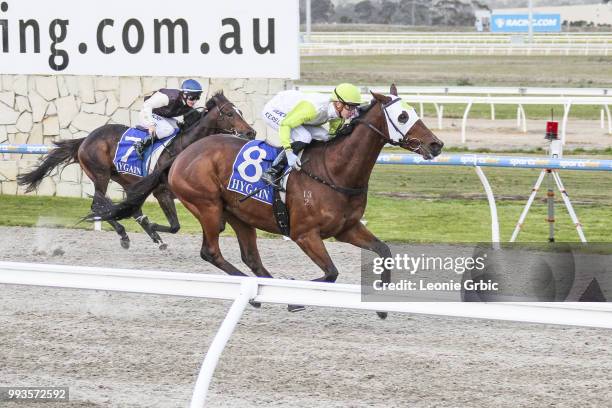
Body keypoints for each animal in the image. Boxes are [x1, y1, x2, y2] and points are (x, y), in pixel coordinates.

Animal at [17, 92, 255, 249]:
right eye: (228, 113)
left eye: (240, 111)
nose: (250, 132)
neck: (183, 146)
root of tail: (86, 139)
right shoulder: (162, 192)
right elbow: (175, 226)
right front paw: (153, 226)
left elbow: (208, 225)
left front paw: (153, 230)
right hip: (100, 174)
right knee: (98, 203)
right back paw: (124, 233)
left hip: (125, 180)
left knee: (121, 206)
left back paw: (148, 234)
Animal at [91, 85, 442, 316]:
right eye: (403, 115)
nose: (436, 145)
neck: (335, 170)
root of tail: (180, 155)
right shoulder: (305, 234)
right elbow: (331, 273)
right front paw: (296, 298)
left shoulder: (347, 228)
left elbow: (384, 251)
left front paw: (381, 306)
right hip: (208, 206)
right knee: (211, 252)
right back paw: (262, 292)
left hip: (239, 214)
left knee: (251, 258)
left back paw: (265, 288)